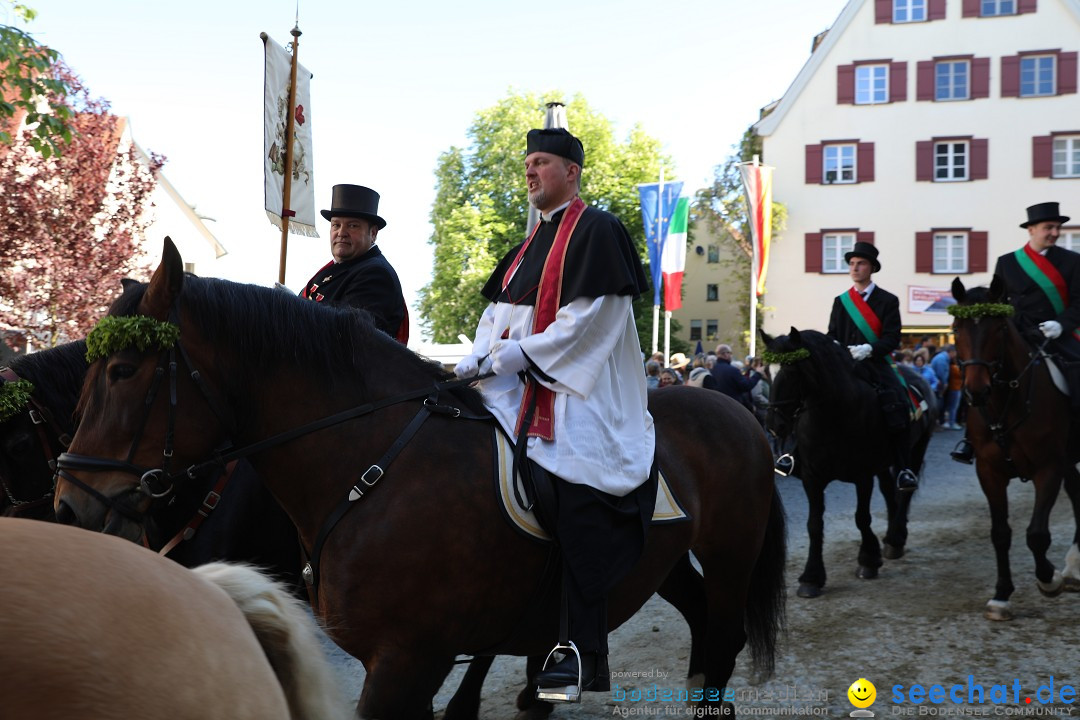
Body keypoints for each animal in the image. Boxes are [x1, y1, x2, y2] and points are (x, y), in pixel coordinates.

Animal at [52, 241, 786, 720]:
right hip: (662, 563)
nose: (68, 508)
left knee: (721, 644)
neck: (373, 465)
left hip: (730, 557)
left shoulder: (408, 660)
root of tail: (740, 415)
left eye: (122, 370)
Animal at [764, 325, 933, 595]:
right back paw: (893, 537)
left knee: (905, 490)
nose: (773, 426)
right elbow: (814, 524)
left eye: (791, 372)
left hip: (915, 449)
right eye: (766, 372)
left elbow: (861, 518)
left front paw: (869, 559)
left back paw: (896, 538)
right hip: (884, 463)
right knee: (889, 491)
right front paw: (811, 577)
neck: (833, 415)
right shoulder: (812, 478)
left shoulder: (862, 475)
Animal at [950, 276, 1075, 621]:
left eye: (998, 328)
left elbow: (1036, 534)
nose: (975, 392)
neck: (1006, 401)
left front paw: (1049, 579)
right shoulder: (989, 472)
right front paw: (1001, 595)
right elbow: (1000, 533)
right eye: (956, 328)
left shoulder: (1049, 468)